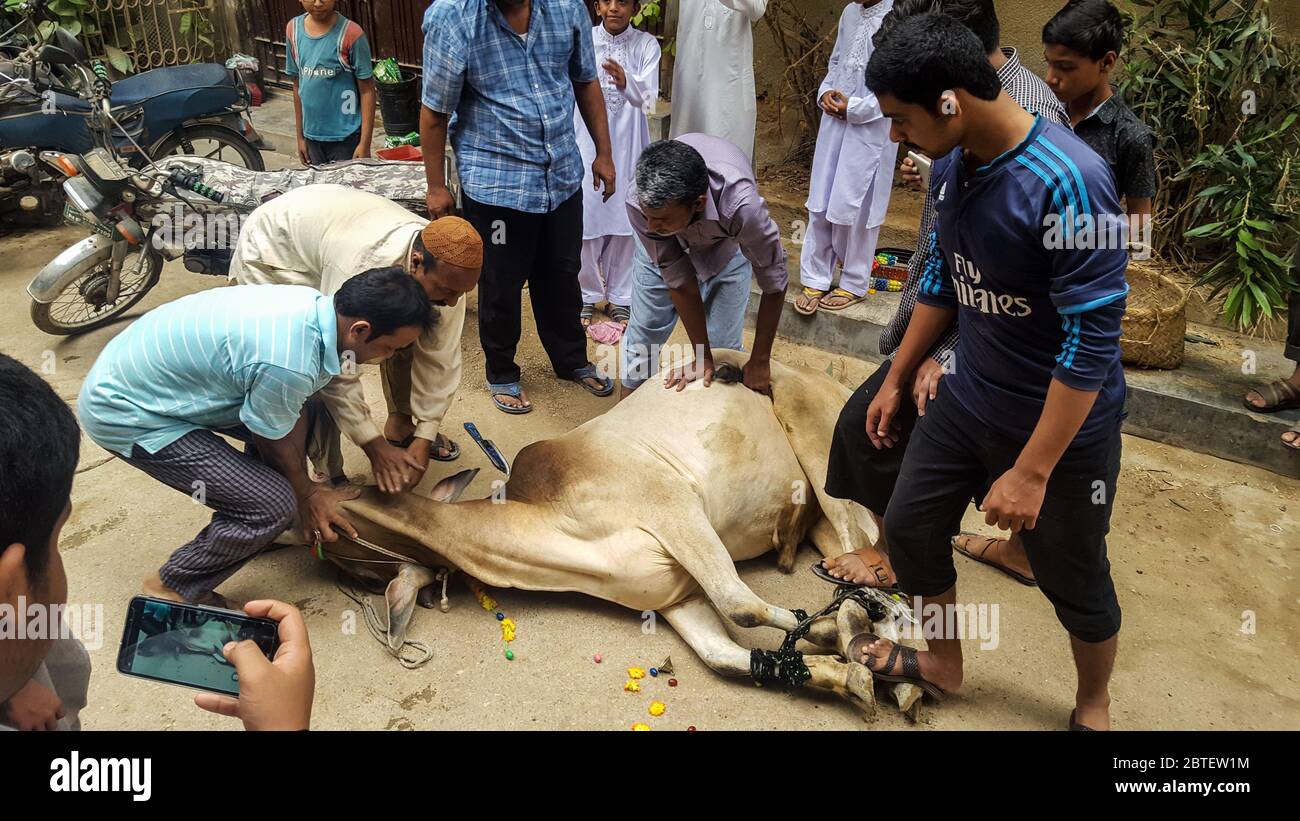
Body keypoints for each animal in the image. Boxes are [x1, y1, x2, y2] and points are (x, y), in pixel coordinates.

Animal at [321, 350, 909, 717]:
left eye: (337, 534)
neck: (555, 528)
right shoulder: (673, 594)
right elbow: (723, 654)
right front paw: (843, 671)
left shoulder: (673, 506)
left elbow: (740, 605)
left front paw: (836, 636)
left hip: (823, 448)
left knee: (861, 545)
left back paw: (880, 628)